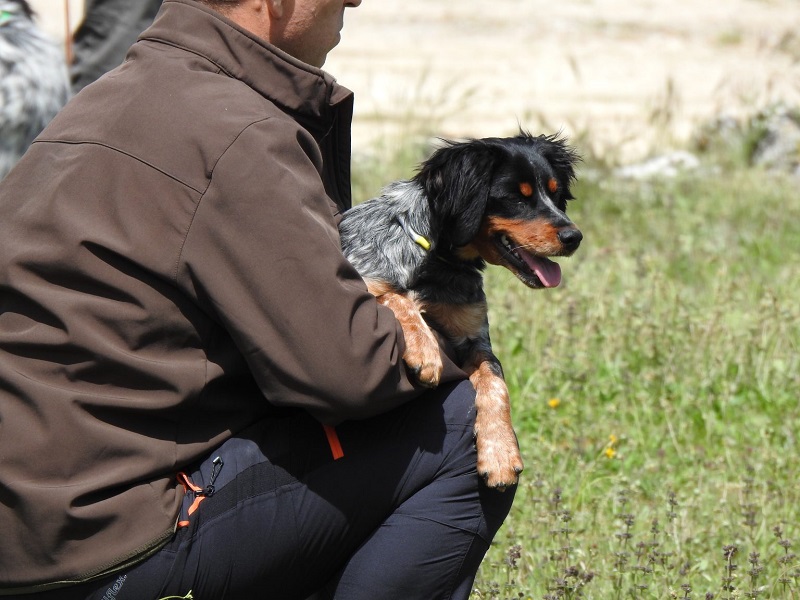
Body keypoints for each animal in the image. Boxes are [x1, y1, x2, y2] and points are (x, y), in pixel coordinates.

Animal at [340, 134, 580, 490]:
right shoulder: (359, 284)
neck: (437, 260)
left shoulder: (475, 339)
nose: (574, 237)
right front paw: (425, 350)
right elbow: (396, 295)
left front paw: (500, 453)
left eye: (555, 193)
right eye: (516, 197)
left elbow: (495, 382)